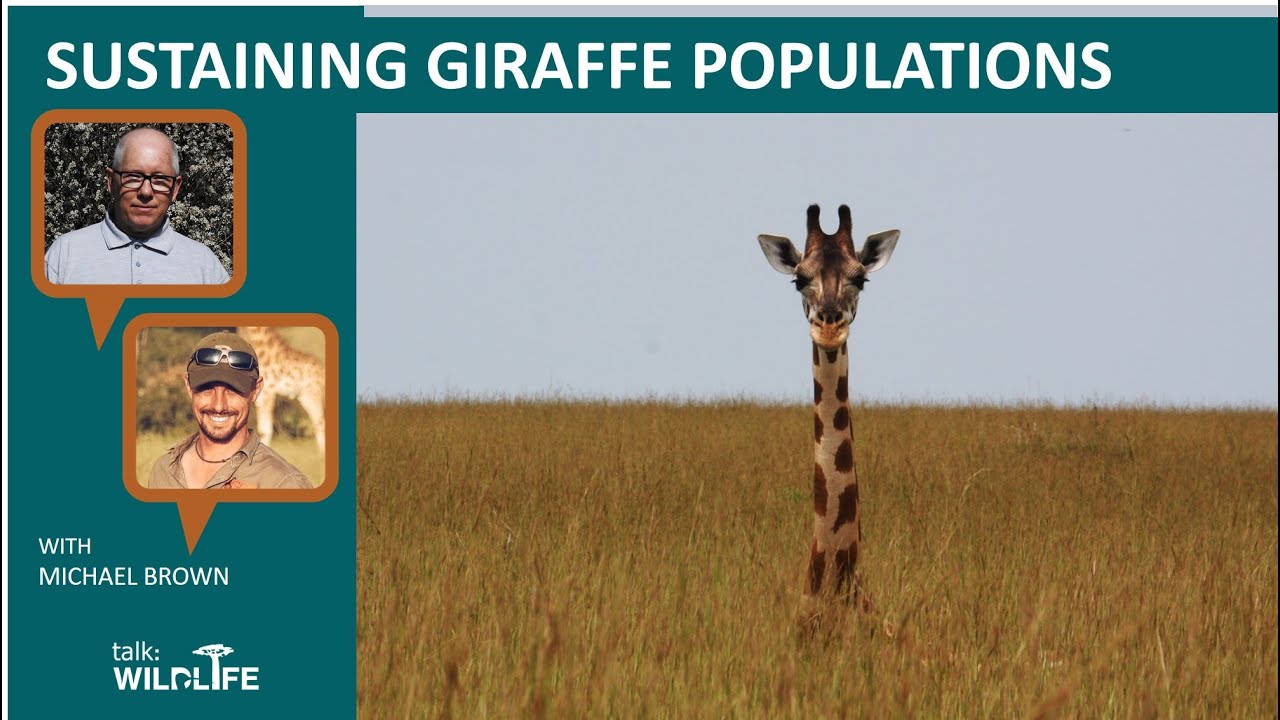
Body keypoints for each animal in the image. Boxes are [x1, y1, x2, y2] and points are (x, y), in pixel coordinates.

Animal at [236, 326, 326, 456]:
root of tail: (322, 370)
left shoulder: (268, 391)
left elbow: (266, 429)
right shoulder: (260, 396)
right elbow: (262, 428)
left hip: (313, 394)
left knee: (320, 421)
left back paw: (321, 455)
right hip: (304, 397)